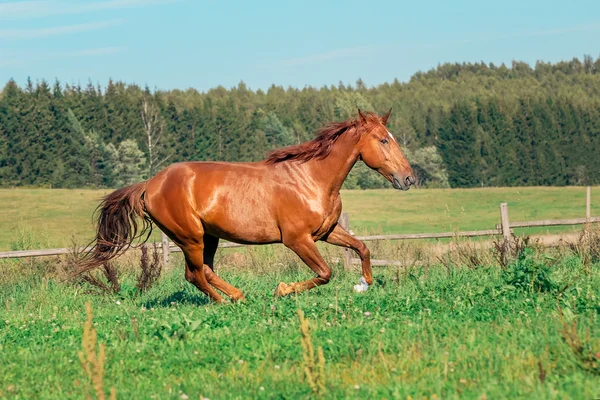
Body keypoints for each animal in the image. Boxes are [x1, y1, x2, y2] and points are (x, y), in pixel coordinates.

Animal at [79, 108, 414, 302]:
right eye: (383, 140)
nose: (408, 178)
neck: (311, 179)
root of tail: (149, 185)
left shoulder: (327, 232)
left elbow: (362, 248)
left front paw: (362, 285)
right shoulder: (297, 240)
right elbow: (325, 273)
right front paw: (281, 290)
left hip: (208, 236)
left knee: (204, 271)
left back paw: (237, 296)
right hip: (190, 237)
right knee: (195, 274)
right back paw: (225, 302)